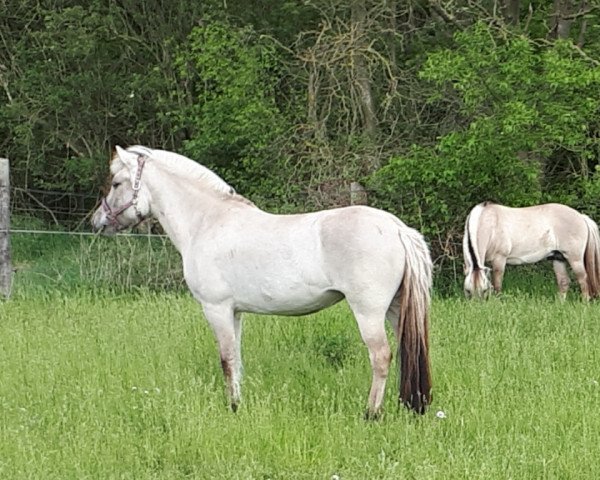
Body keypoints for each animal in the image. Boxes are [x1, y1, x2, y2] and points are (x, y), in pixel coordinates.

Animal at [91, 145, 434, 416]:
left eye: (117, 183)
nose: (97, 222)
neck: (207, 222)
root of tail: (397, 229)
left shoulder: (216, 308)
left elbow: (227, 360)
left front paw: (232, 408)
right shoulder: (235, 312)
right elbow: (237, 359)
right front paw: (238, 403)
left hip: (369, 312)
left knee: (381, 356)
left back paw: (371, 413)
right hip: (395, 308)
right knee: (408, 351)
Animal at [464, 202, 600, 300]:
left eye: (484, 290)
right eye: (468, 291)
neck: (489, 223)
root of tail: (581, 217)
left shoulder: (499, 259)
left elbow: (497, 285)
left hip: (574, 259)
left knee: (583, 279)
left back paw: (584, 303)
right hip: (558, 258)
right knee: (564, 282)